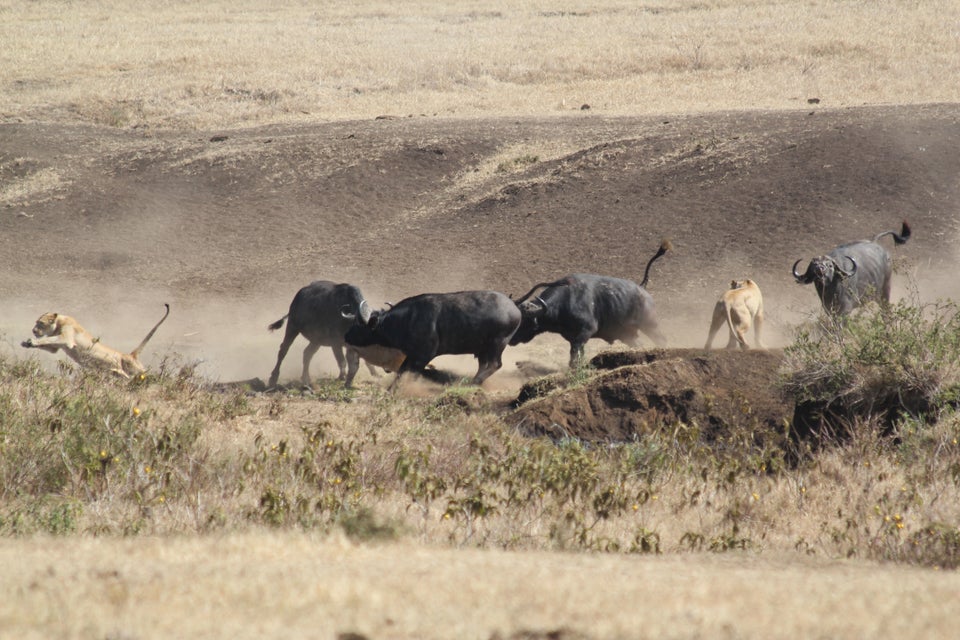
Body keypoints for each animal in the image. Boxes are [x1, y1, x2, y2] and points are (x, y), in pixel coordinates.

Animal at [21, 304, 170, 378]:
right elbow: (48, 343)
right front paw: (26, 343)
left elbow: (48, 339)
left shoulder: (66, 338)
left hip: (137, 370)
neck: (58, 322)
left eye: (40, 323)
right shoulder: (55, 347)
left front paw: (31, 341)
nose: (34, 330)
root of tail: (129, 355)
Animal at [344, 290, 520, 384]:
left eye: (360, 325)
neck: (408, 320)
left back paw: (473, 383)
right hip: (483, 349)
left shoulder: (423, 357)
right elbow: (401, 372)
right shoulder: (412, 355)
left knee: (495, 364)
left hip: (497, 344)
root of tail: (514, 308)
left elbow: (410, 374)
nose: (346, 336)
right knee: (484, 365)